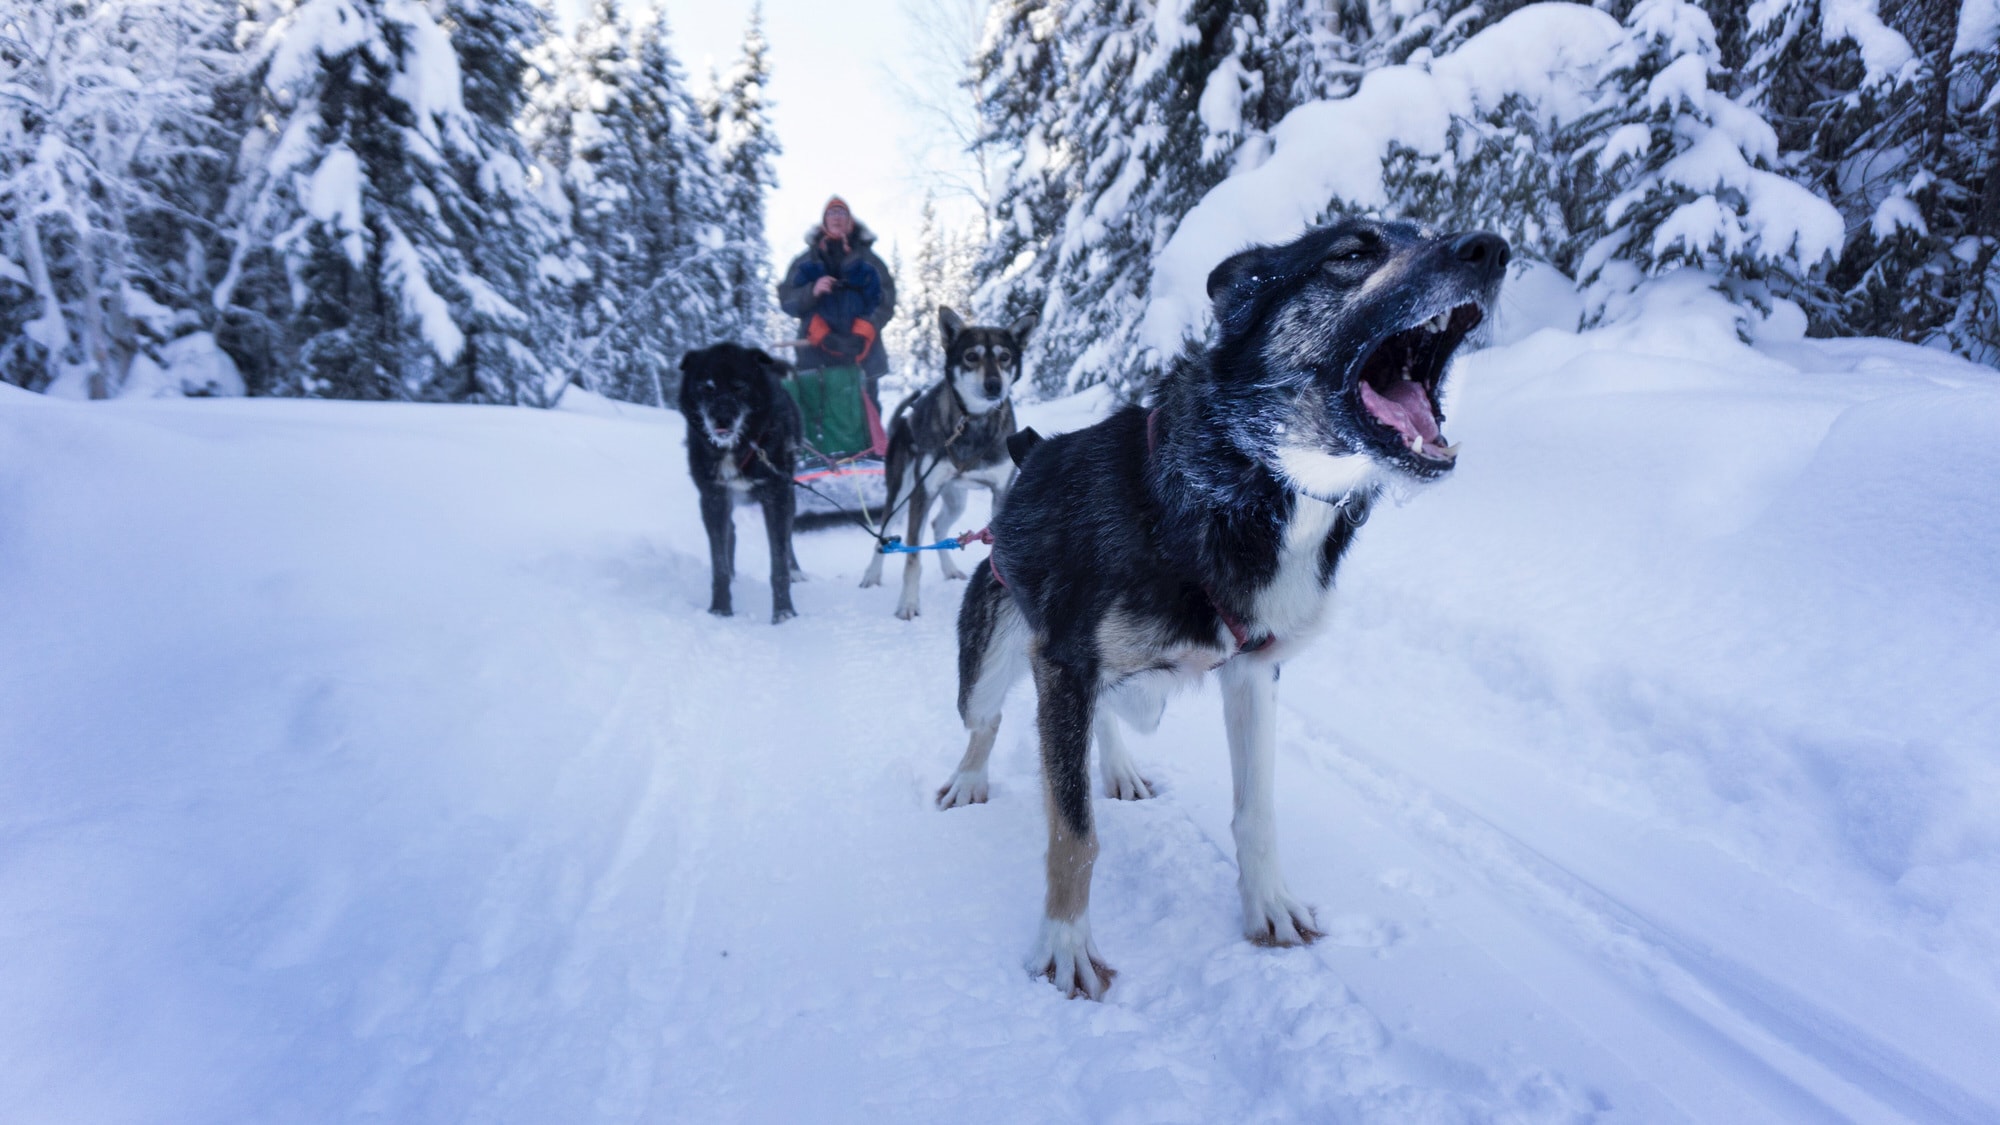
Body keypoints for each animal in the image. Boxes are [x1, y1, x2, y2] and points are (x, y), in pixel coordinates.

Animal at [680, 342, 804, 620]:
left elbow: (778, 563)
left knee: (788, 537)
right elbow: (719, 565)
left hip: (787, 494)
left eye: (739, 386)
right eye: (707, 386)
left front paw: (784, 613)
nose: (721, 419)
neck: (738, 447)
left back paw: (795, 571)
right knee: (731, 532)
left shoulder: (777, 497)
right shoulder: (713, 498)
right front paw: (720, 609)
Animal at [860, 304, 1040, 620]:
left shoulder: (1000, 492)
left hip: (956, 499)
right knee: (885, 535)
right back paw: (872, 574)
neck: (973, 423)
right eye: (971, 356)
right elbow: (913, 556)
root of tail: (902, 422)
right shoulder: (923, 493)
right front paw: (908, 604)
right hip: (902, 496)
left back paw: (949, 568)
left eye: (1005, 356)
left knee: (939, 527)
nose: (993, 385)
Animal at [944, 221, 1504, 996]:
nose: (1491, 248)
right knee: (987, 718)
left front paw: (1269, 905)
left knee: (1099, 724)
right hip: (995, 660)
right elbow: (1075, 830)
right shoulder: (1064, 664)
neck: (1239, 485)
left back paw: (1117, 766)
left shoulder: (1253, 673)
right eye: (1351, 252)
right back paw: (971, 778)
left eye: (1425, 231)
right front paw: (1065, 942)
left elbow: (1256, 813)